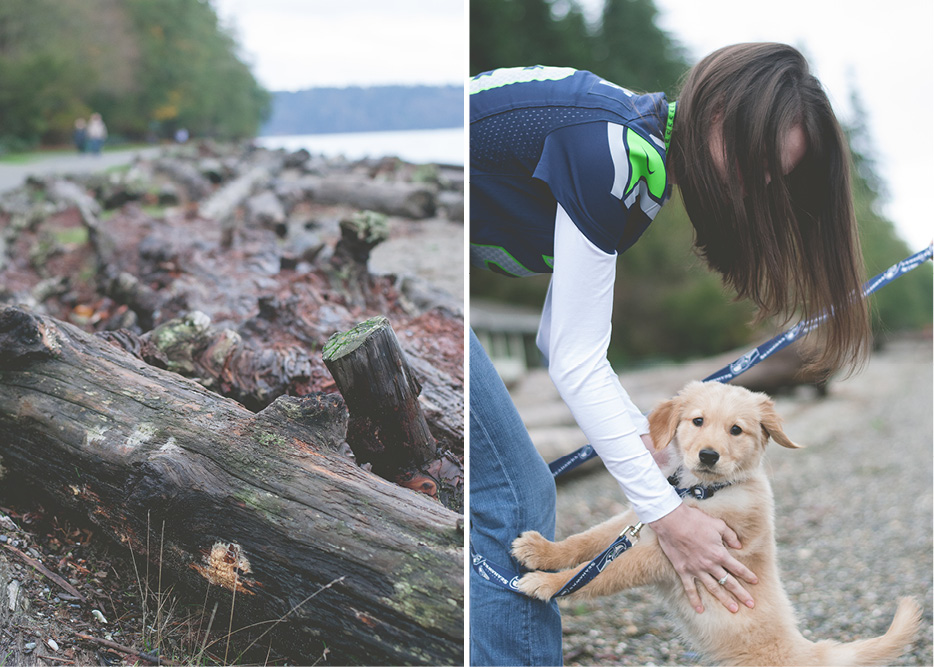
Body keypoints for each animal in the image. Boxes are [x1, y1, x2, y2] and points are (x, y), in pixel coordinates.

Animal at [512, 380, 920, 667]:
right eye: (698, 421)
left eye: (736, 430)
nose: (708, 455)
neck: (701, 490)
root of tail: (811, 650)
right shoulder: (645, 523)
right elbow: (589, 540)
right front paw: (540, 550)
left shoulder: (671, 554)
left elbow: (603, 572)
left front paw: (546, 584)